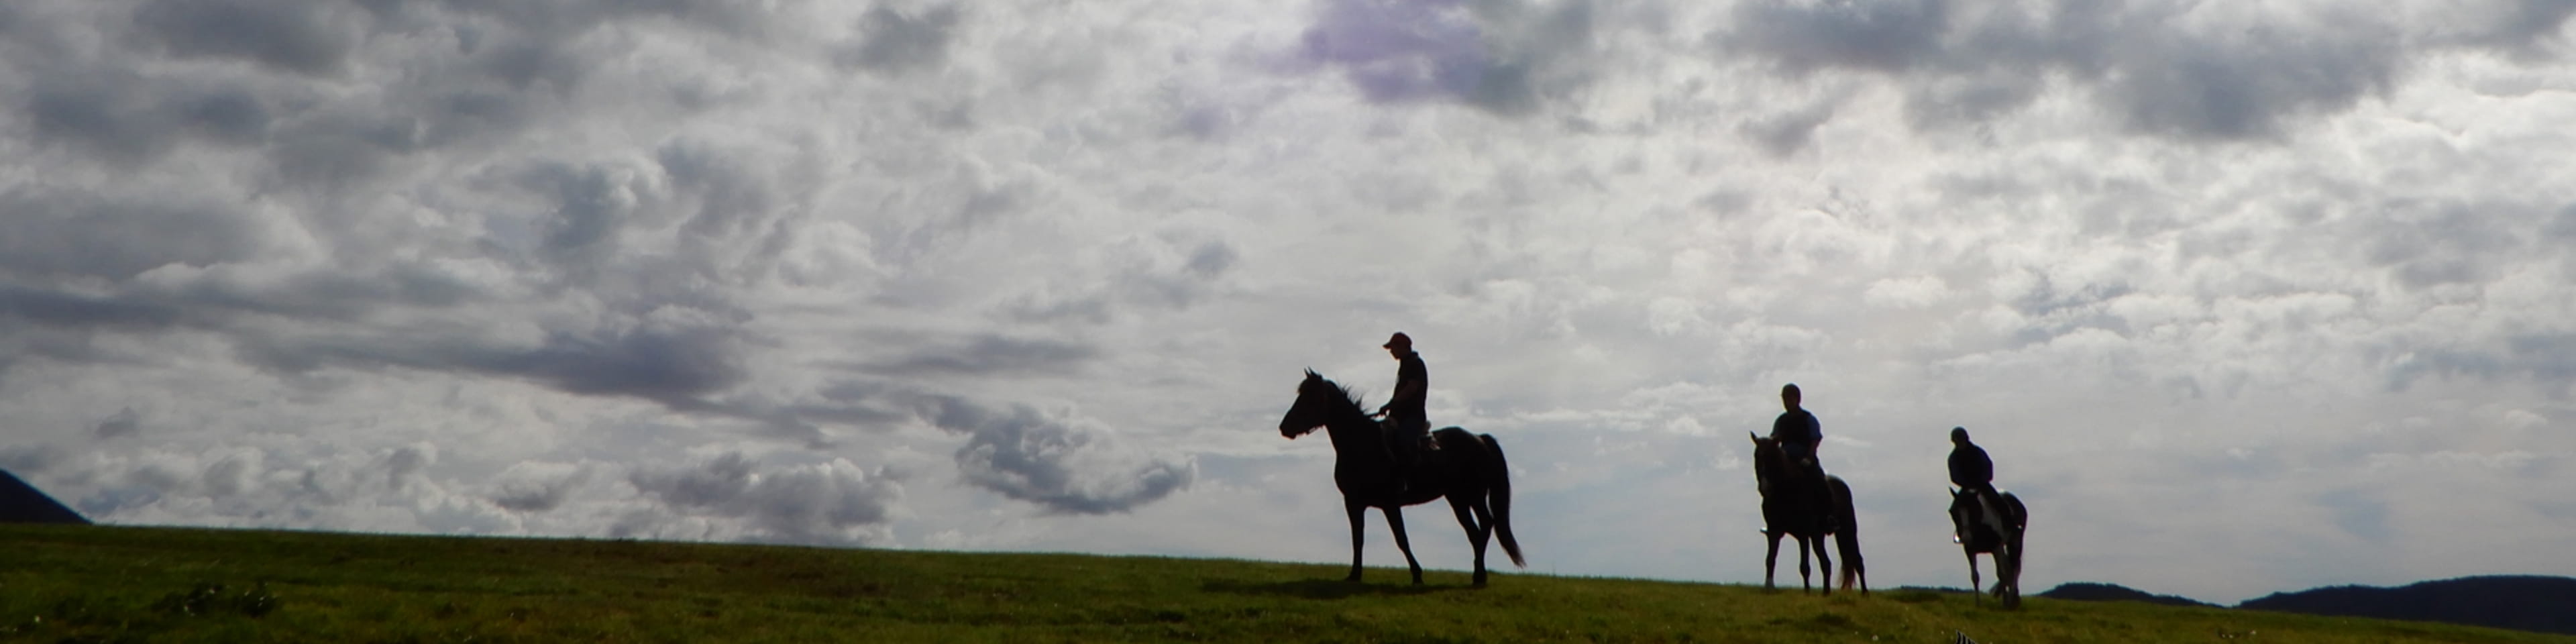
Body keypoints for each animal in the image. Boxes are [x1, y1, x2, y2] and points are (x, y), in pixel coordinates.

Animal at [1277, 370, 1514, 587]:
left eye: (1310, 398)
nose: (1284, 427)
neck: (1361, 444)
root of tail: (1480, 439)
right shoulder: (1354, 503)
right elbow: (1358, 539)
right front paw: (1355, 575)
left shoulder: (1390, 503)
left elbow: (1401, 539)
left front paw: (1417, 574)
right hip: (1458, 499)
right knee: (1476, 531)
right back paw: (1478, 575)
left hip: (1472, 496)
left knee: (1484, 526)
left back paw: (1479, 575)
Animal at [1741, 435, 1865, 595]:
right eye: (1756, 456)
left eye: (1771, 457)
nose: (1765, 488)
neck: (1786, 492)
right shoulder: (1775, 532)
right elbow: (1771, 559)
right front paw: (1769, 587)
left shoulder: (1804, 534)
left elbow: (1805, 567)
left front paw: (1807, 593)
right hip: (1819, 536)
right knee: (1826, 562)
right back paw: (1826, 592)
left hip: (1846, 532)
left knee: (1856, 560)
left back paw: (1863, 593)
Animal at [1947, 486, 2029, 608]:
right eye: (1953, 512)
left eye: (1973, 510)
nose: (1966, 538)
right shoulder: (1970, 550)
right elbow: (1975, 577)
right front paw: (1978, 604)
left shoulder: (1996, 549)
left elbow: (2001, 574)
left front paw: (2006, 603)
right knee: (2009, 567)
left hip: (2015, 543)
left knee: (2015, 568)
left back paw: (2011, 599)